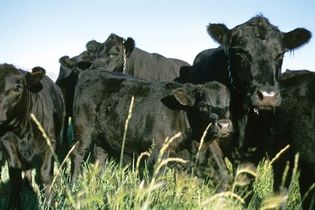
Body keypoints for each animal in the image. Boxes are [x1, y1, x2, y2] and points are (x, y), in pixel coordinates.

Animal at [0, 63, 65, 208]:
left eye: (18, 87)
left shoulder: (51, 142)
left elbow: (45, 174)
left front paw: (49, 203)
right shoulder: (6, 142)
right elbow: (15, 174)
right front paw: (14, 203)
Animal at [71, 69, 232, 182]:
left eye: (228, 106)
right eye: (203, 106)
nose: (224, 125)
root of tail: (90, 72)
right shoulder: (157, 150)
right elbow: (155, 179)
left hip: (103, 136)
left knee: (100, 157)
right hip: (83, 129)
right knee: (77, 154)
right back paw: (72, 185)